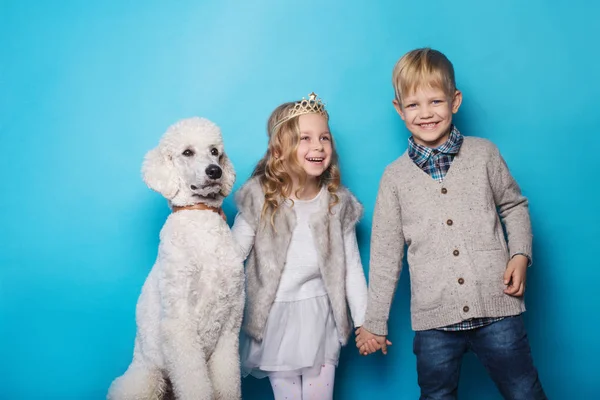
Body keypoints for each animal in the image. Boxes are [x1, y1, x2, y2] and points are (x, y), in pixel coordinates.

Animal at [109, 117, 245, 400]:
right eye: (187, 152)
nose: (215, 171)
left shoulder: (230, 327)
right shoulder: (179, 324)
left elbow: (227, 382)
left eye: (215, 151)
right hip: (146, 379)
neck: (200, 218)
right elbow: (194, 384)